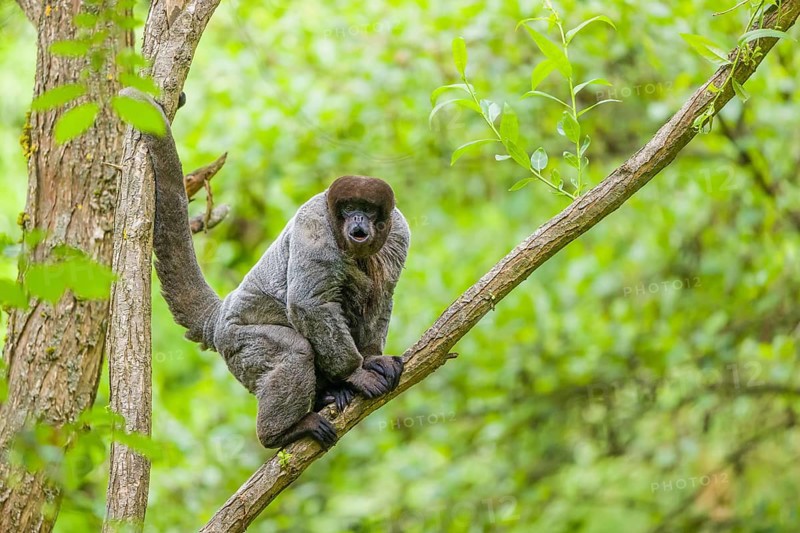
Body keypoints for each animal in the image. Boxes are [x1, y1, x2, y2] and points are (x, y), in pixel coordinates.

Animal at [121, 89, 410, 449]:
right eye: (348, 209)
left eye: (368, 210)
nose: (357, 220)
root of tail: (219, 315)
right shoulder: (315, 230)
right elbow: (309, 304)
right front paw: (356, 373)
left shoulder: (399, 232)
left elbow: (382, 296)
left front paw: (371, 358)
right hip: (239, 342)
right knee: (295, 350)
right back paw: (281, 432)